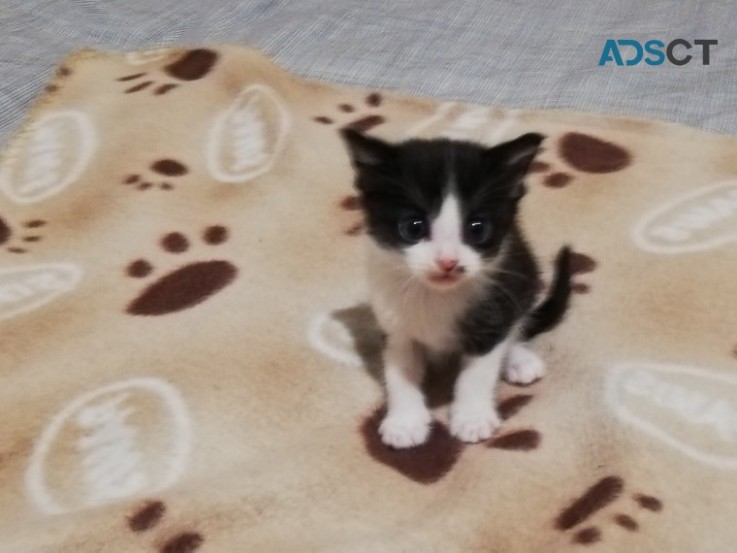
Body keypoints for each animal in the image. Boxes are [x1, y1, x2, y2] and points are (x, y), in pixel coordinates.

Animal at [342, 129, 572, 448]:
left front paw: (471, 418)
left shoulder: (494, 311)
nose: (448, 262)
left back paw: (519, 359)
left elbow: (478, 371)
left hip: (525, 274)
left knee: (518, 322)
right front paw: (405, 421)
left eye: (478, 228)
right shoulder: (393, 322)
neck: (435, 295)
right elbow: (399, 370)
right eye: (413, 227)